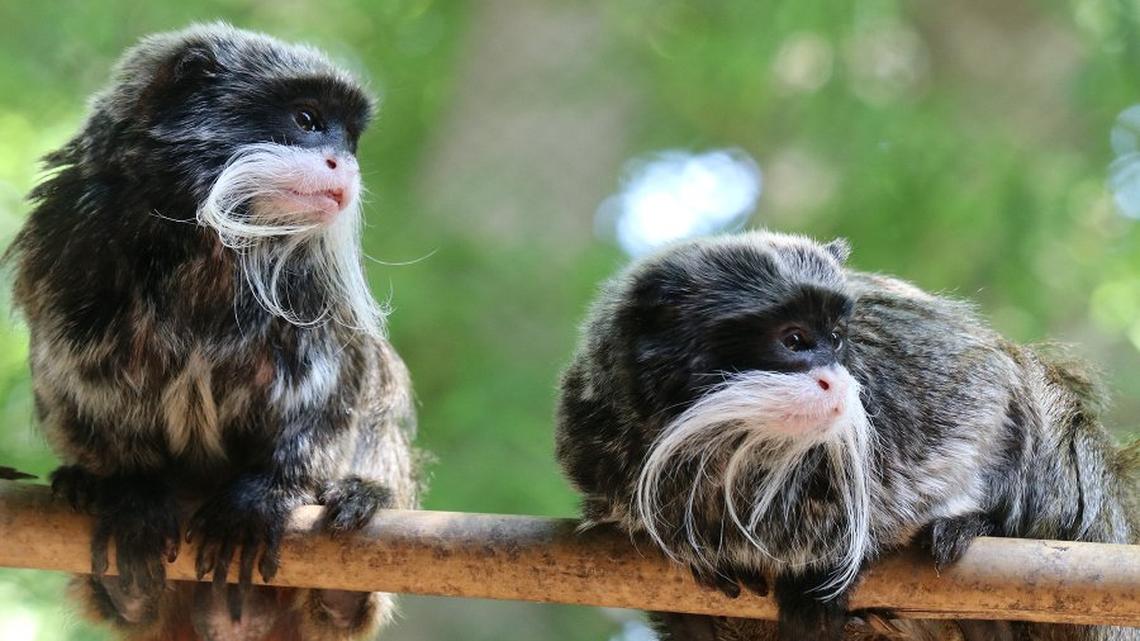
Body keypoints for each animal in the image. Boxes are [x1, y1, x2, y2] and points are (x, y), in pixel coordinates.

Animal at [5, 24, 420, 641]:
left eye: (350, 140)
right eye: (306, 120)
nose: (342, 165)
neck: (203, 238)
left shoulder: (317, 284)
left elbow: (340, 385)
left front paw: (268, 490)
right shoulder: (66, 237)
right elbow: (72, 376)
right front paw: (129, 487)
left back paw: (352, 542)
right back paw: (118, 573)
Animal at [555, 231, 1139, 641]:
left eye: (837, 338)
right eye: (794, 340)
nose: (835, 378)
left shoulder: (900, 361)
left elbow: (983, 385)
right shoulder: (595, 438)